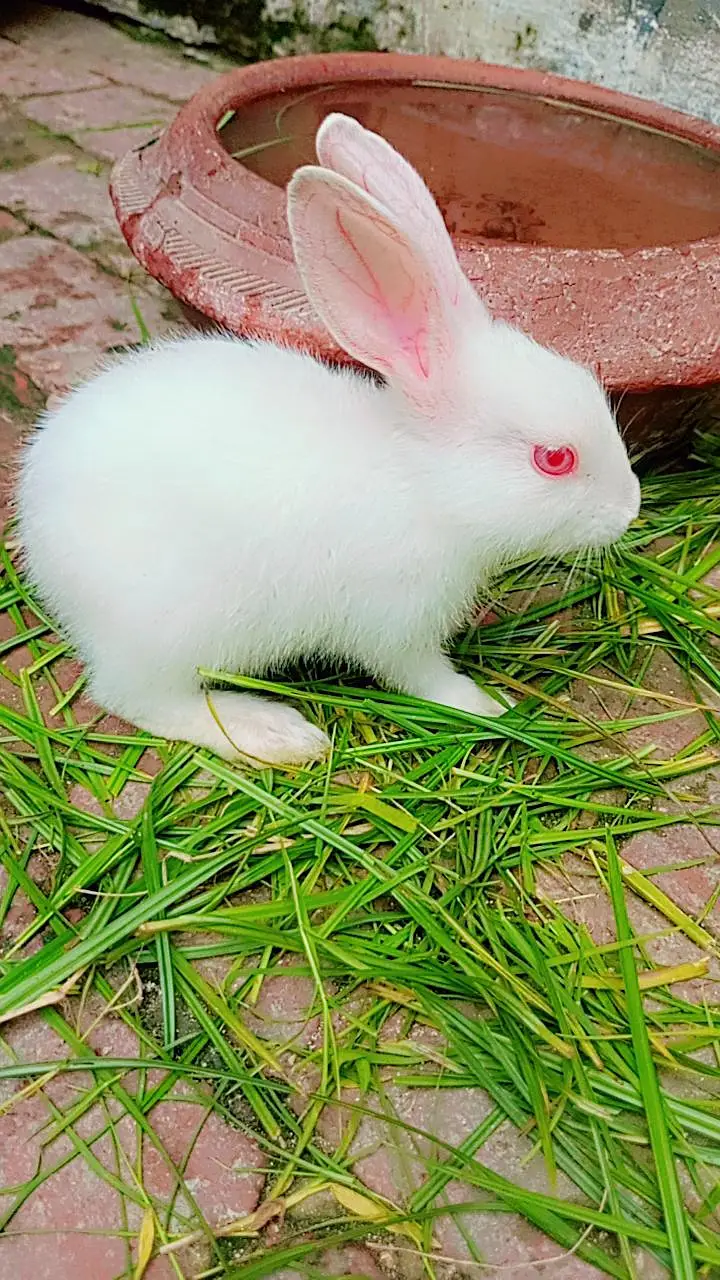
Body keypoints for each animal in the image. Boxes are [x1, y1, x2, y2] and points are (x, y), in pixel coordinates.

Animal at [16, 112, 640, 767]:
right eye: (555, 458)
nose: (630, 509)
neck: (429, 487)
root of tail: (38, 536)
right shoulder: (399, 626)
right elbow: (424, 677)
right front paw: (488, 704)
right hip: (171, 623)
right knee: (138, 697)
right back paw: (276, 734)